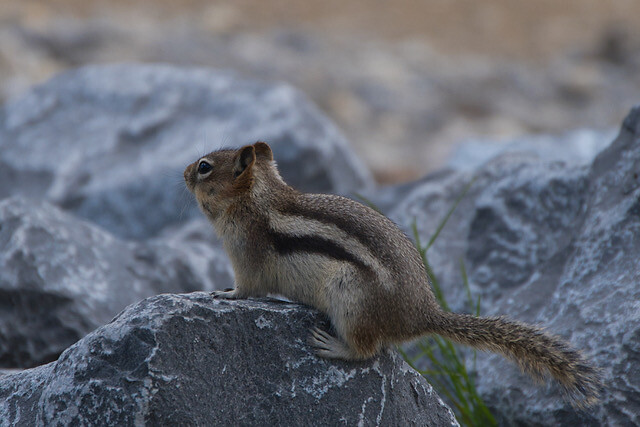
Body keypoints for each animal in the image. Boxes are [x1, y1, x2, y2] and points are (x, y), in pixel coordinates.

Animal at [184, 141, 601, 406]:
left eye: (204, 167)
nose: (184, 171)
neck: (258, 199)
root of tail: (421, 314)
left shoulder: (246, 255)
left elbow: (247, 288)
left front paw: (223, 294)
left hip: (350, 298)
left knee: (367, 350)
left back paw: (333, 345)